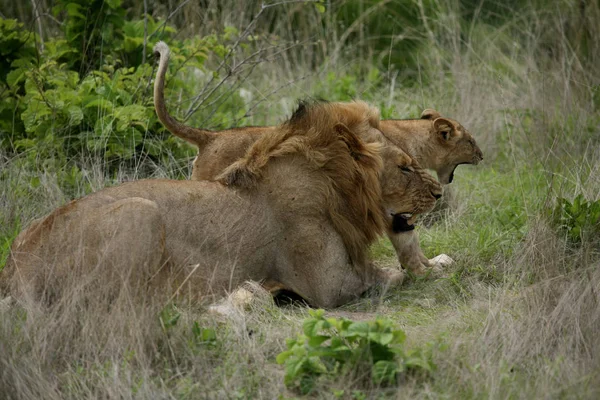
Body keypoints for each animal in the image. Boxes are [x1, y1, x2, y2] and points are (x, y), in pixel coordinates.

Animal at [0, 101, 440, 308]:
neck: (338, 189)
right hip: (140, 211)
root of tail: (13, 267)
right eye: (405, 167)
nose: (438, 194)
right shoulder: (328, 285)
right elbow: (392, 276)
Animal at [155, 43, 482, 276]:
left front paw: (432, 263)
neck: (410, 138)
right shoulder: (386, 202)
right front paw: (425, 272)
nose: (482, 155)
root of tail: (209, 136)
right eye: (470, 140)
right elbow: (408, 243)